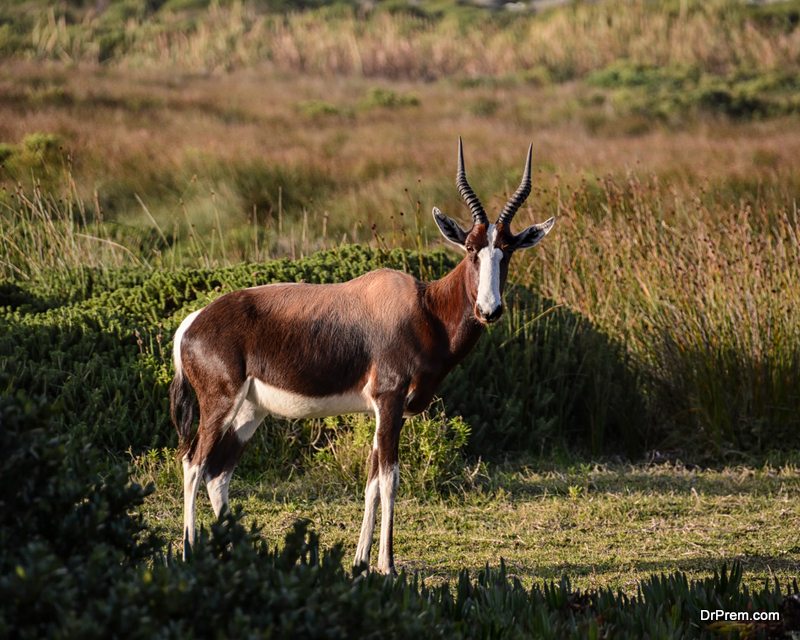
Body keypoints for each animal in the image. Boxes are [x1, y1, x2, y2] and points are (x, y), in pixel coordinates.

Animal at [170, 139, 556, 568]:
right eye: (471, 248)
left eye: (507, 250)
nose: (489, 310)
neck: (423, 308)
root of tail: (193, 322)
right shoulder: (389, 403)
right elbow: (390, 480)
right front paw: (387, 564)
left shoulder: (381, 412)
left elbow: (371, 483)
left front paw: (360, 560)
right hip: (219, 405)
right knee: (193, 463)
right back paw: (189, 552)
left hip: (249, 413)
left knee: (218, 474)